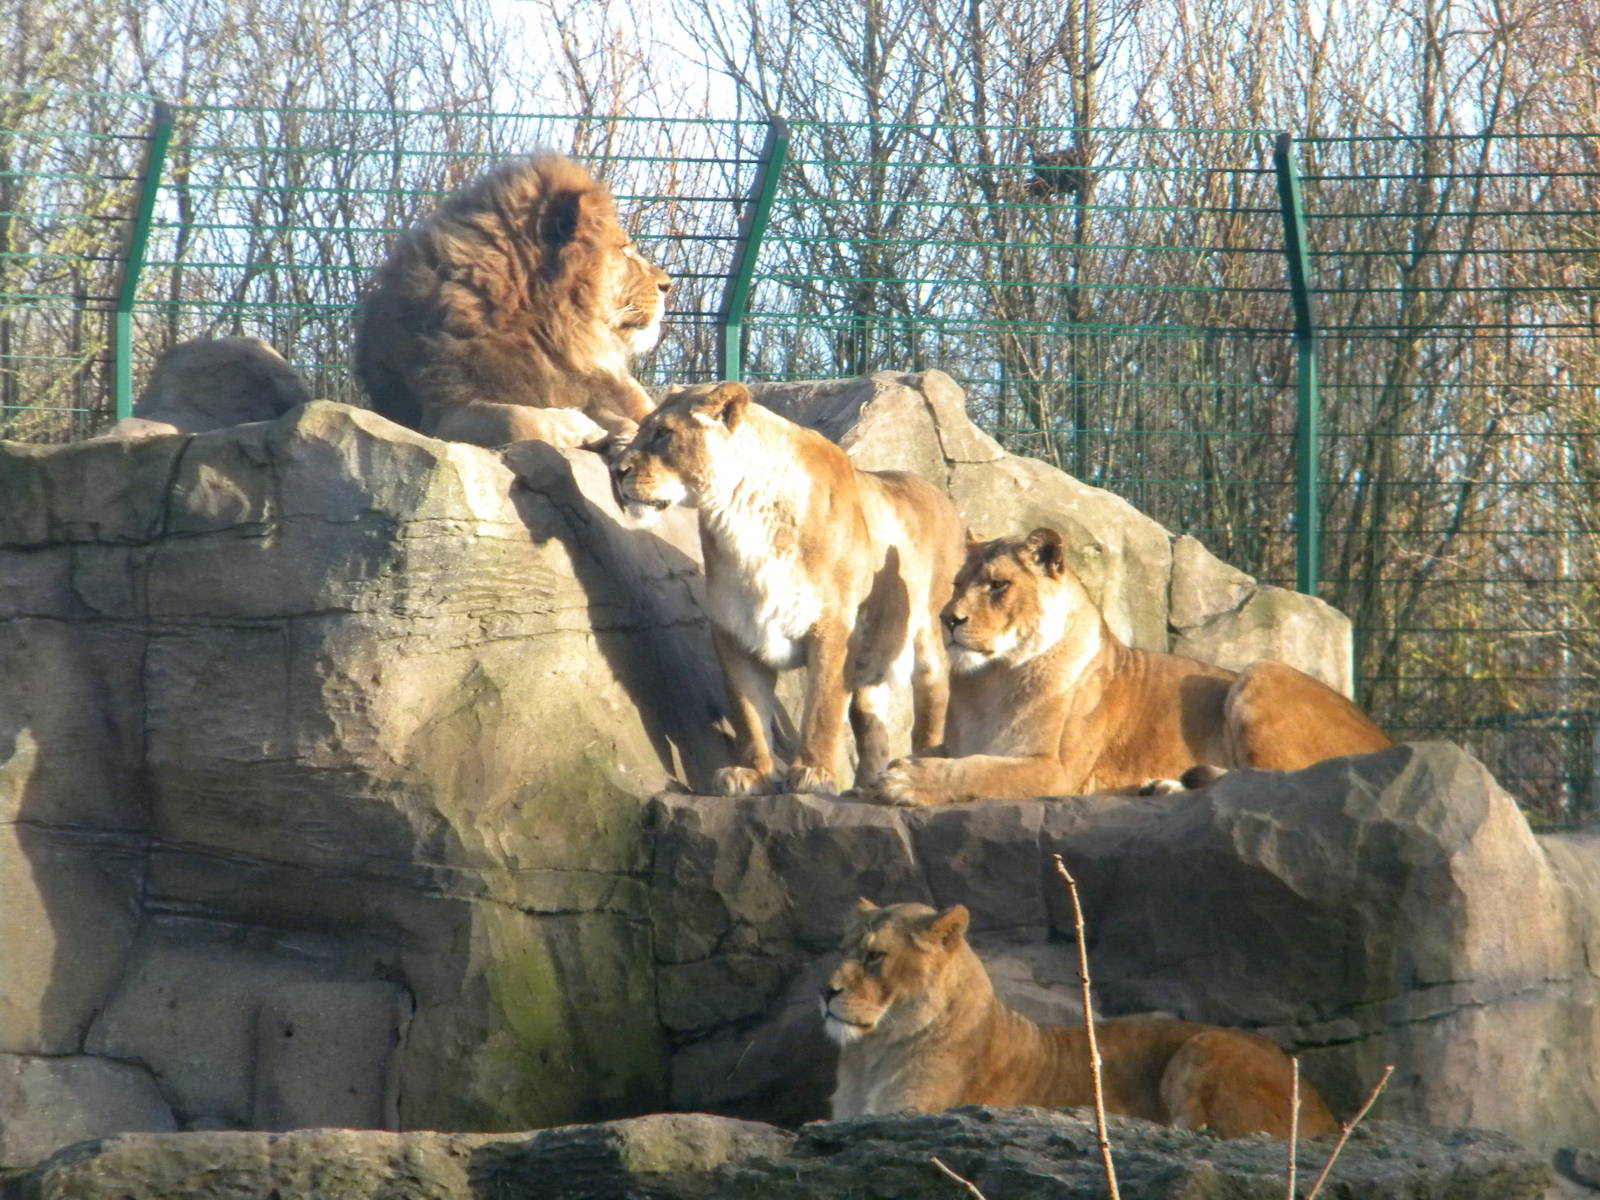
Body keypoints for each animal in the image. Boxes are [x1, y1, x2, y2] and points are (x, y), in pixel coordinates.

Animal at [613, 381, 964, 795]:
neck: (740, 517)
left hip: (930, 637)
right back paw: (866, 785)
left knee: (933, 704)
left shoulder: (834, 627)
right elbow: (748, 713)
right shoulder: (734, 631)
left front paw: (814, 773)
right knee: (871, 723)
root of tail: (943, 498)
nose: (617, 471)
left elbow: (822, 708)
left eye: (663, 433)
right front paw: (753, 773)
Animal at [823, 899, 1338, 1139]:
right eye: (842, 950)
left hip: (1203, 1048)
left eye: (874, 957)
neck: (872, 1055)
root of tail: (1326, 1108)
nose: (825, 991)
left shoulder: (909, 1111)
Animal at [873, 527, 1392, 806]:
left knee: (1272, 782)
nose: (948, 619)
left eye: (999, 586)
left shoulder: (1055, 771)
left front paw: (903, 780)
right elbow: (946, 753)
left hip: (1261, 671)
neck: (993, 679)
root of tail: (1385, 739)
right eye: (957, 584)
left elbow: (978, 771)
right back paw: (1162, 786)